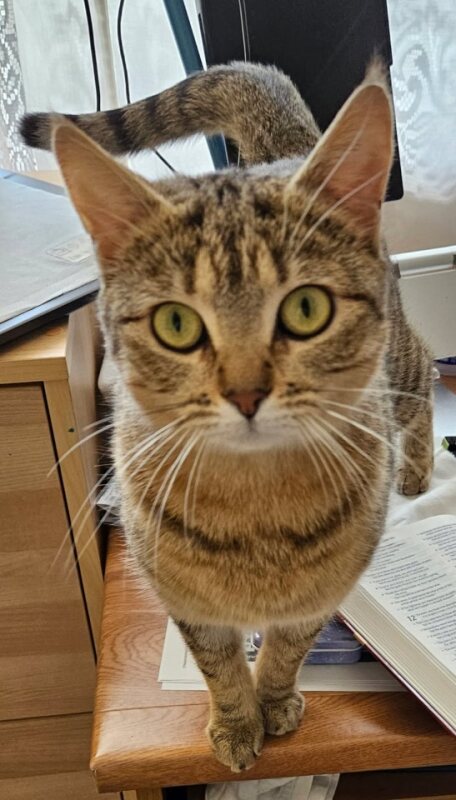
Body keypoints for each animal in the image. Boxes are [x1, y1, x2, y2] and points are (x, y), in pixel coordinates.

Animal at [21, 61, 434, 771]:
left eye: (306, 309)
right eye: (176, 324)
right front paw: (239, 722)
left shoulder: (320, 597)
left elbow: (286, 652)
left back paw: (417, 468)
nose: (245, 394)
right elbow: (218, 664)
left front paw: (275, 701)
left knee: (432, 372)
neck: (255, 511)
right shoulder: (184, 600)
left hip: (401, 374)